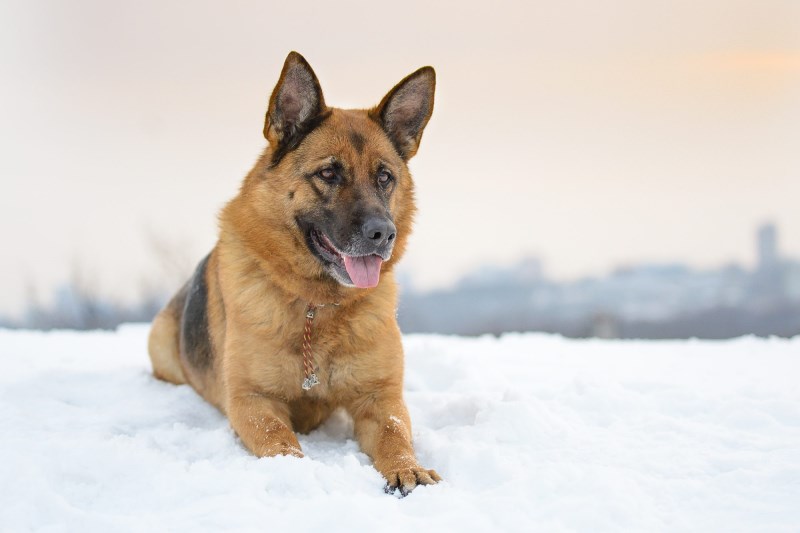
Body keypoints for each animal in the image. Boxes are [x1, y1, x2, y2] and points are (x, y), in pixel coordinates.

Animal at [147, 52, 440, 492]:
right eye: (329, 173)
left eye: (384, 177)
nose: (382, 234)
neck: (316, 307)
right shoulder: (252, 400)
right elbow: (279, 441)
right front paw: (296, 472)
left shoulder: (380, 398)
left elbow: (394, 434)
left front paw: (409, 468)